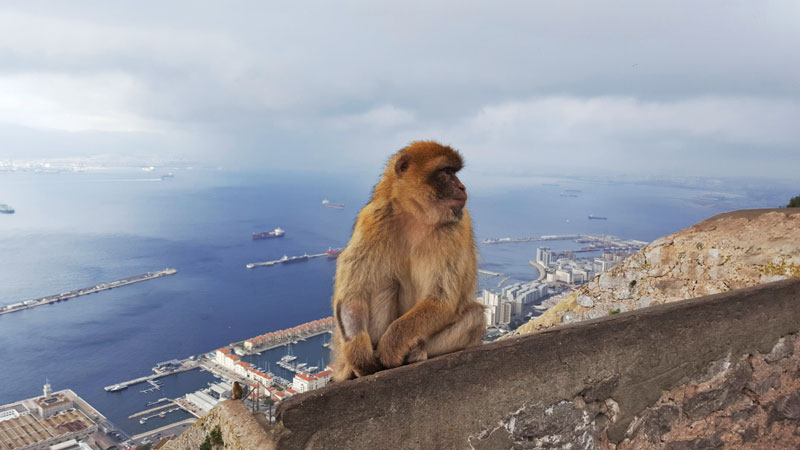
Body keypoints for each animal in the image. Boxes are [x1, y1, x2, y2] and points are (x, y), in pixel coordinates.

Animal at [328, 140, 484, 380]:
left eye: (454, 172)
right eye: (446, 172)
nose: (462, 187)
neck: (416, 216)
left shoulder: (455, 227)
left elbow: (441, 299)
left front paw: (392, 346)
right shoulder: (373, 218)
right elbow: (353, 293)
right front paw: (358, 353)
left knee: (475, 317)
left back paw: (415, 354)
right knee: (383, 285)